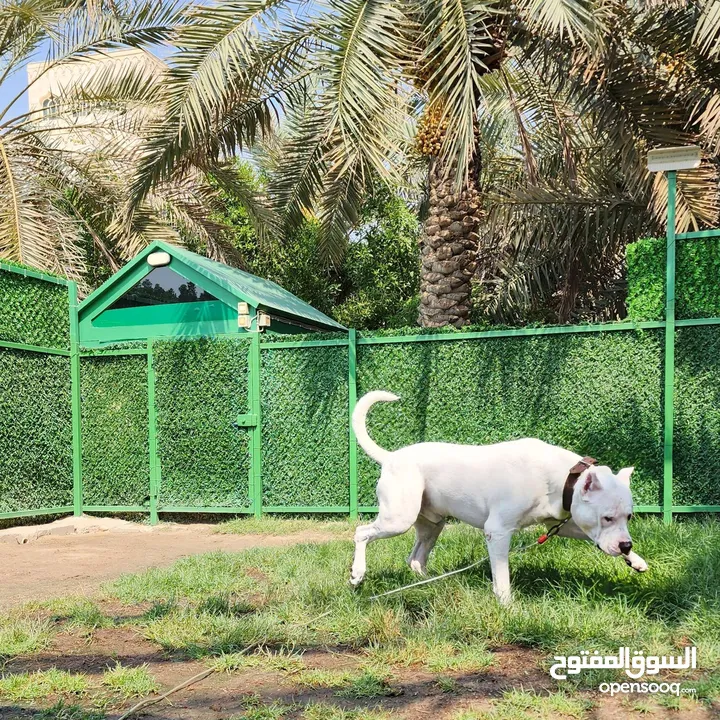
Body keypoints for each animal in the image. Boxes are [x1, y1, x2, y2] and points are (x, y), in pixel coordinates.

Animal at [348, 390, 648, 604]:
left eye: (628, 517)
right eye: (607, 517)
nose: (625, 546)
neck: (562, 477)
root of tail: (391, 457)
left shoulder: (562, 524)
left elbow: (586, 534)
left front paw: (636, 560)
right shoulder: (498, 532)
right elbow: (502, 577)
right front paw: (507, 605)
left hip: (431, 525)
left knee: (415, 559)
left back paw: (430, 582)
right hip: (398, 518)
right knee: (362, 533)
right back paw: (357, 574)